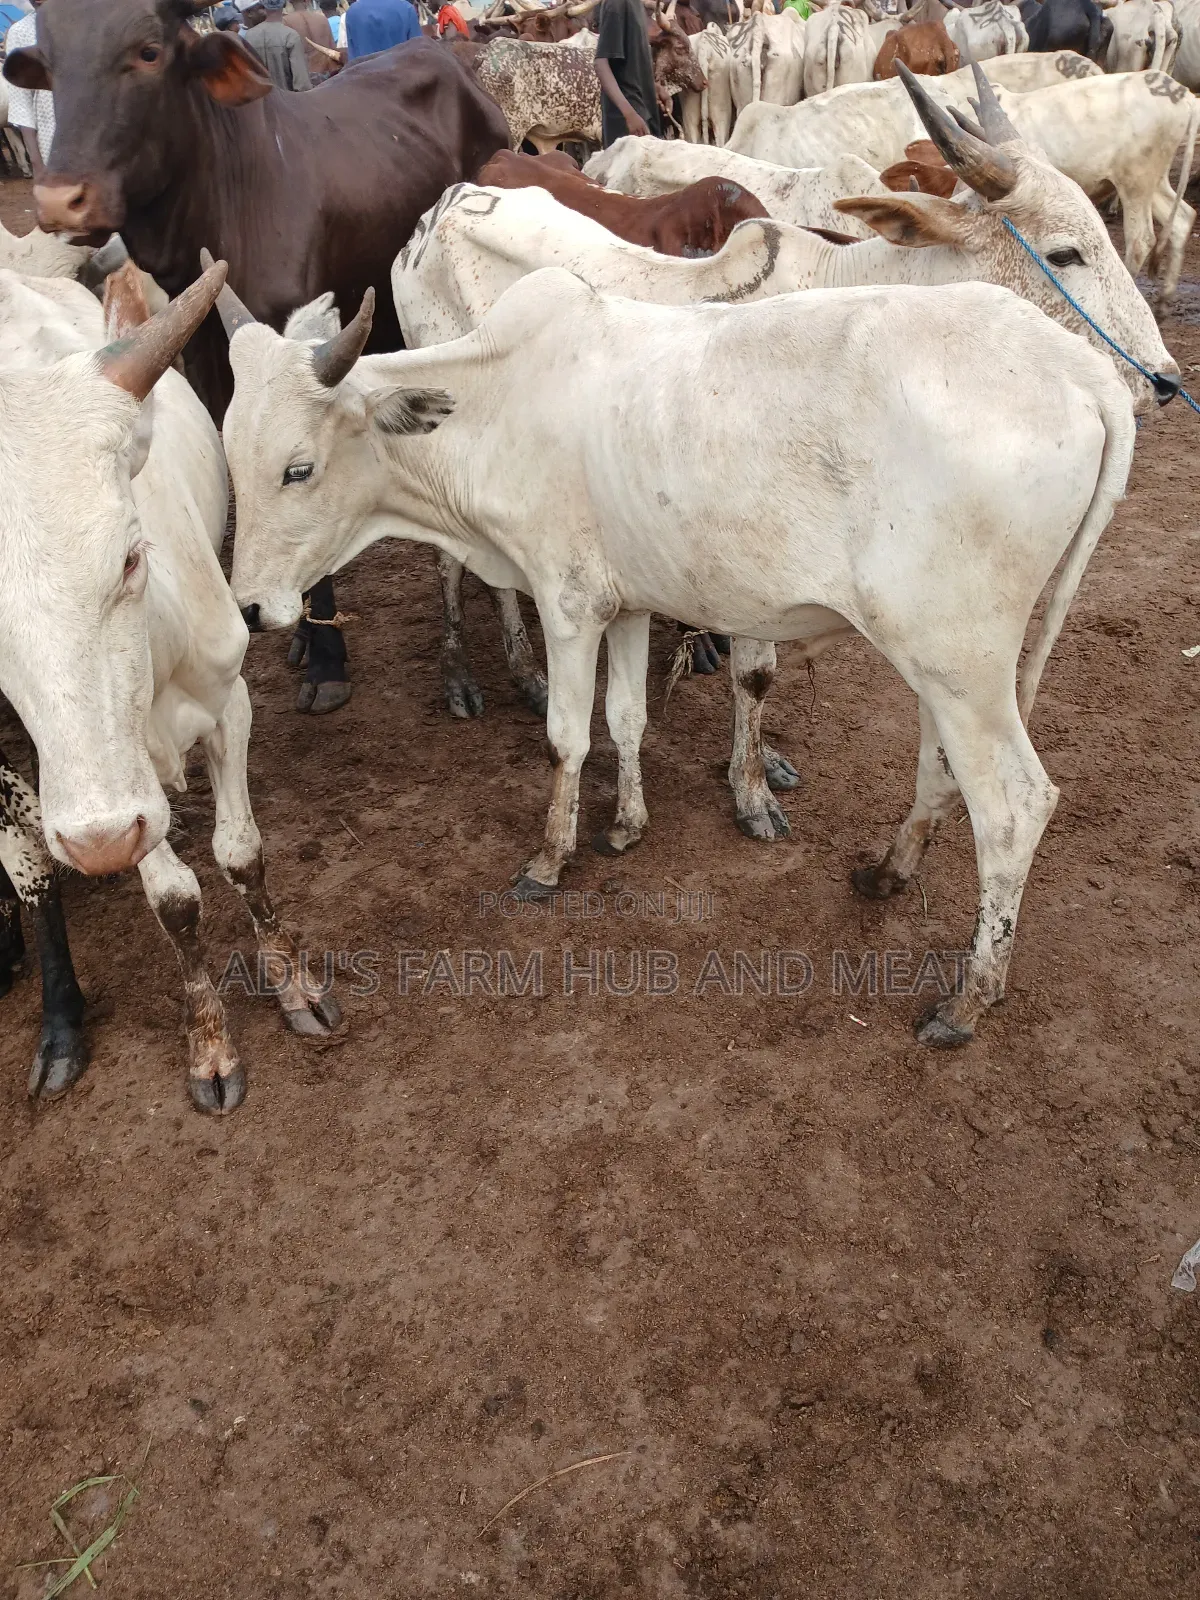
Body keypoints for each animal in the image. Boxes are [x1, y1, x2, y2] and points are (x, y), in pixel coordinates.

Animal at [0, 260, 341, 1113]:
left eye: (130, 554)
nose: (97, 842)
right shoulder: (117, 793)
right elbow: (175, 901)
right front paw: (210, 1044)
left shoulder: (230, 703)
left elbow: (243, 854)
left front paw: (294, 984)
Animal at [7, 0, 511, 719]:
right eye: (46, 64)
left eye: (149, 51)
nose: (59, 200)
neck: (222, 205)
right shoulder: (214, 370)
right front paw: (302, 632)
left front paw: (327, 659)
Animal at [219, 260, 1139, 1051]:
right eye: (231, 461)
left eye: (298, 468)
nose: (250, 608)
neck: (496, 402)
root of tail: (1084, 371)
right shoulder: (625, 601)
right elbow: (626, 718)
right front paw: (627, 823)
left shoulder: (567, 599)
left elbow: (567, 736)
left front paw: (549, 859)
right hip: (945, 664)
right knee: (939, 767)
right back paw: (888, 871)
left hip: (959, 661)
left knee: (1016, 807)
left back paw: (968, 999)